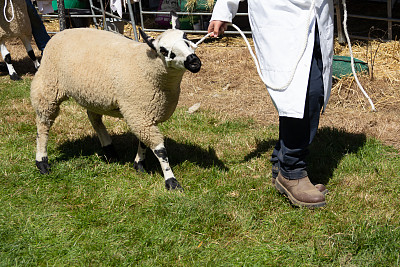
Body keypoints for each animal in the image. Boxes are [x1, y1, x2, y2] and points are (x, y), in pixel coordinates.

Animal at [30, 20, 203, 191]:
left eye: (186, 37)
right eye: (164, 50)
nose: (194, 62)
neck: (146, 67)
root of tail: (61, 33)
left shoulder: (144, 115)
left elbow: (143, 142)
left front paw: (139, 165)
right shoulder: (138, 113)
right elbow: (160, 151)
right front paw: (171, 181)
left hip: (92, 96)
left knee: (94, 119)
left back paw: (109, 151)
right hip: (48, 86)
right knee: (43, 124)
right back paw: (42, 163)